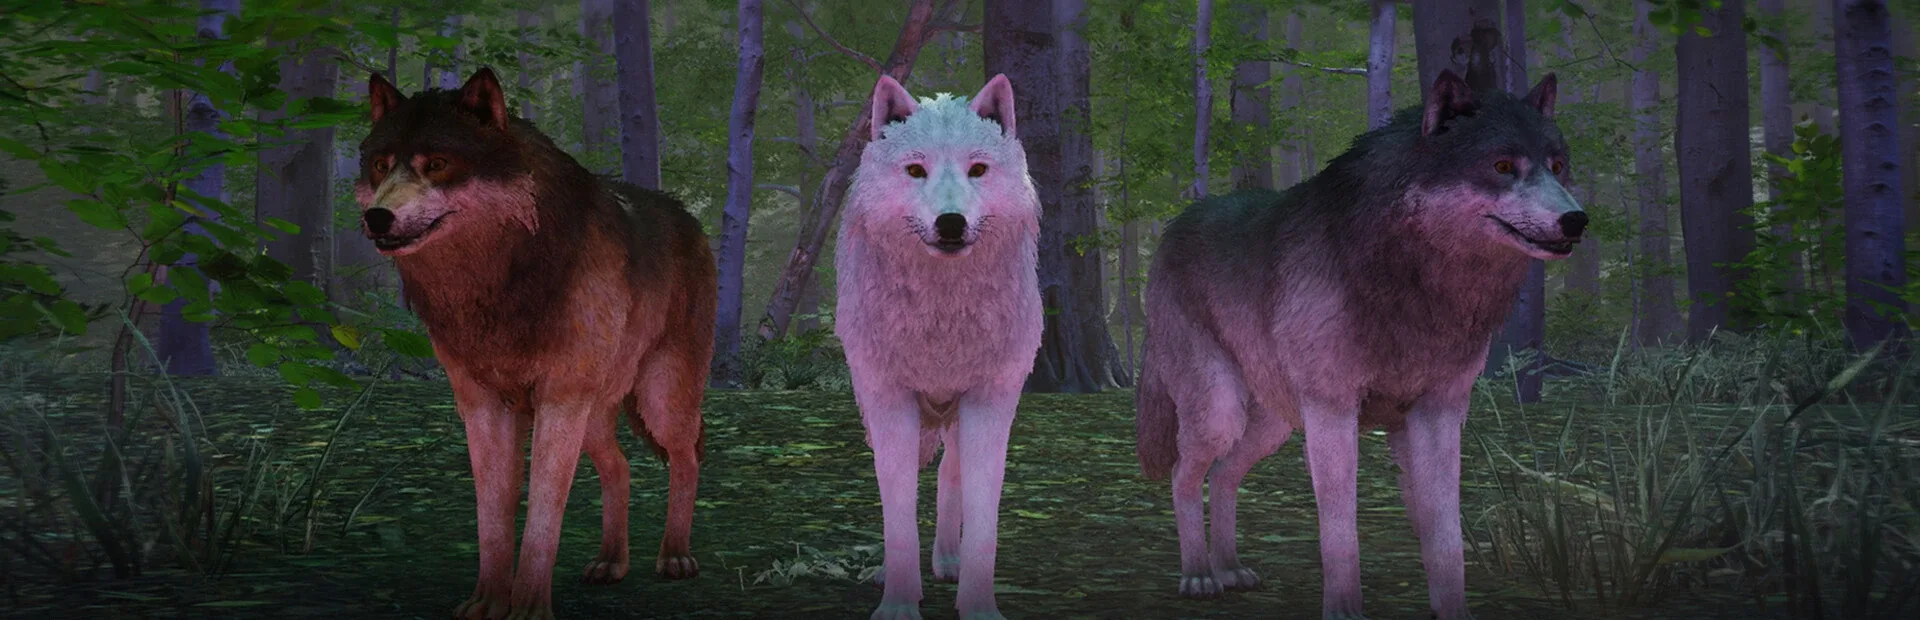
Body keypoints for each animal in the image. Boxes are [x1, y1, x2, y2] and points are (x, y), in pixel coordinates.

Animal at [355, 68, 715, 620]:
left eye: (436, 164)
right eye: (380, 165)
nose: (376, 217)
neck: (500, 284)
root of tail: (691, 220)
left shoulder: (559, 401)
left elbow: (544, 515)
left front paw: (526, 607)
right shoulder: (481, 406)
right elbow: (492, 515)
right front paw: (487, 601)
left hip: (657, 402)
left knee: (687, 459)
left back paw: (675, 555)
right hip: (595, 417)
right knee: (621, 467)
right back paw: (611, 561)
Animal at [836, 74, 1043, 620]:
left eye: (977, 169)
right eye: (915, 170)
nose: (951, 223)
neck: (942, 318)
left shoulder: (991, 401)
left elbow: (984, 516)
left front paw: (979, 606)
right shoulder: (888, 401)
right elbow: (898, 508)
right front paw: (897, 603)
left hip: (959, 416)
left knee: (952, 475)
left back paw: (948, 559)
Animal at [1135, 69, 1582, 620]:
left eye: (1558, 167)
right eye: (1502, 166)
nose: (1577, 220)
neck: (1413, 282)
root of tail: (1174, 225)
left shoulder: (1439, 413)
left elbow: (1446, 538)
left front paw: (1452, 609)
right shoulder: (1333, 410)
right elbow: (1339, 532)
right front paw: (1344, 609)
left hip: (1272, 427)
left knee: (1221, 476)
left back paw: (1230, 568)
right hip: (1221, 413)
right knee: (1183, 474)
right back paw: (1199, 574)